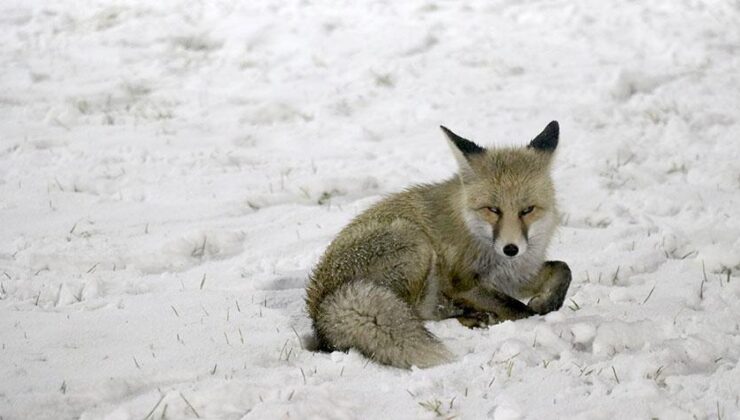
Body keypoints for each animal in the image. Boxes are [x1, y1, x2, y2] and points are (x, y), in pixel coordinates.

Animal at [306, 121, 572, 368]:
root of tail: (320, 309)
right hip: (417, 243)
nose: (511, 249)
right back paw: (473, 316)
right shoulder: (464, 284)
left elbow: (562, 269)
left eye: (527, 210)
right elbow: (519, 309)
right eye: (493, 210)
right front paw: (531, 312)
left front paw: (547, 301)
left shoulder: (514, 276)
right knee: (419, 313)